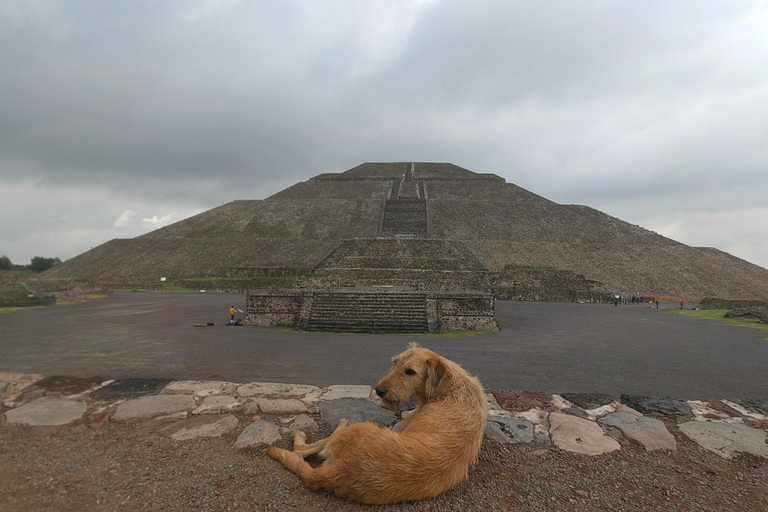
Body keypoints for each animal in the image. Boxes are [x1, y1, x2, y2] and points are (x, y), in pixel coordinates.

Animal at [268, 342, 488, 506]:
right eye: (395, 362)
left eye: (411, 372)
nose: (379, 390)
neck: (450, 387)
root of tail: (339, 471)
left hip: (358, 429)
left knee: (303, 449)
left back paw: (319, 430)